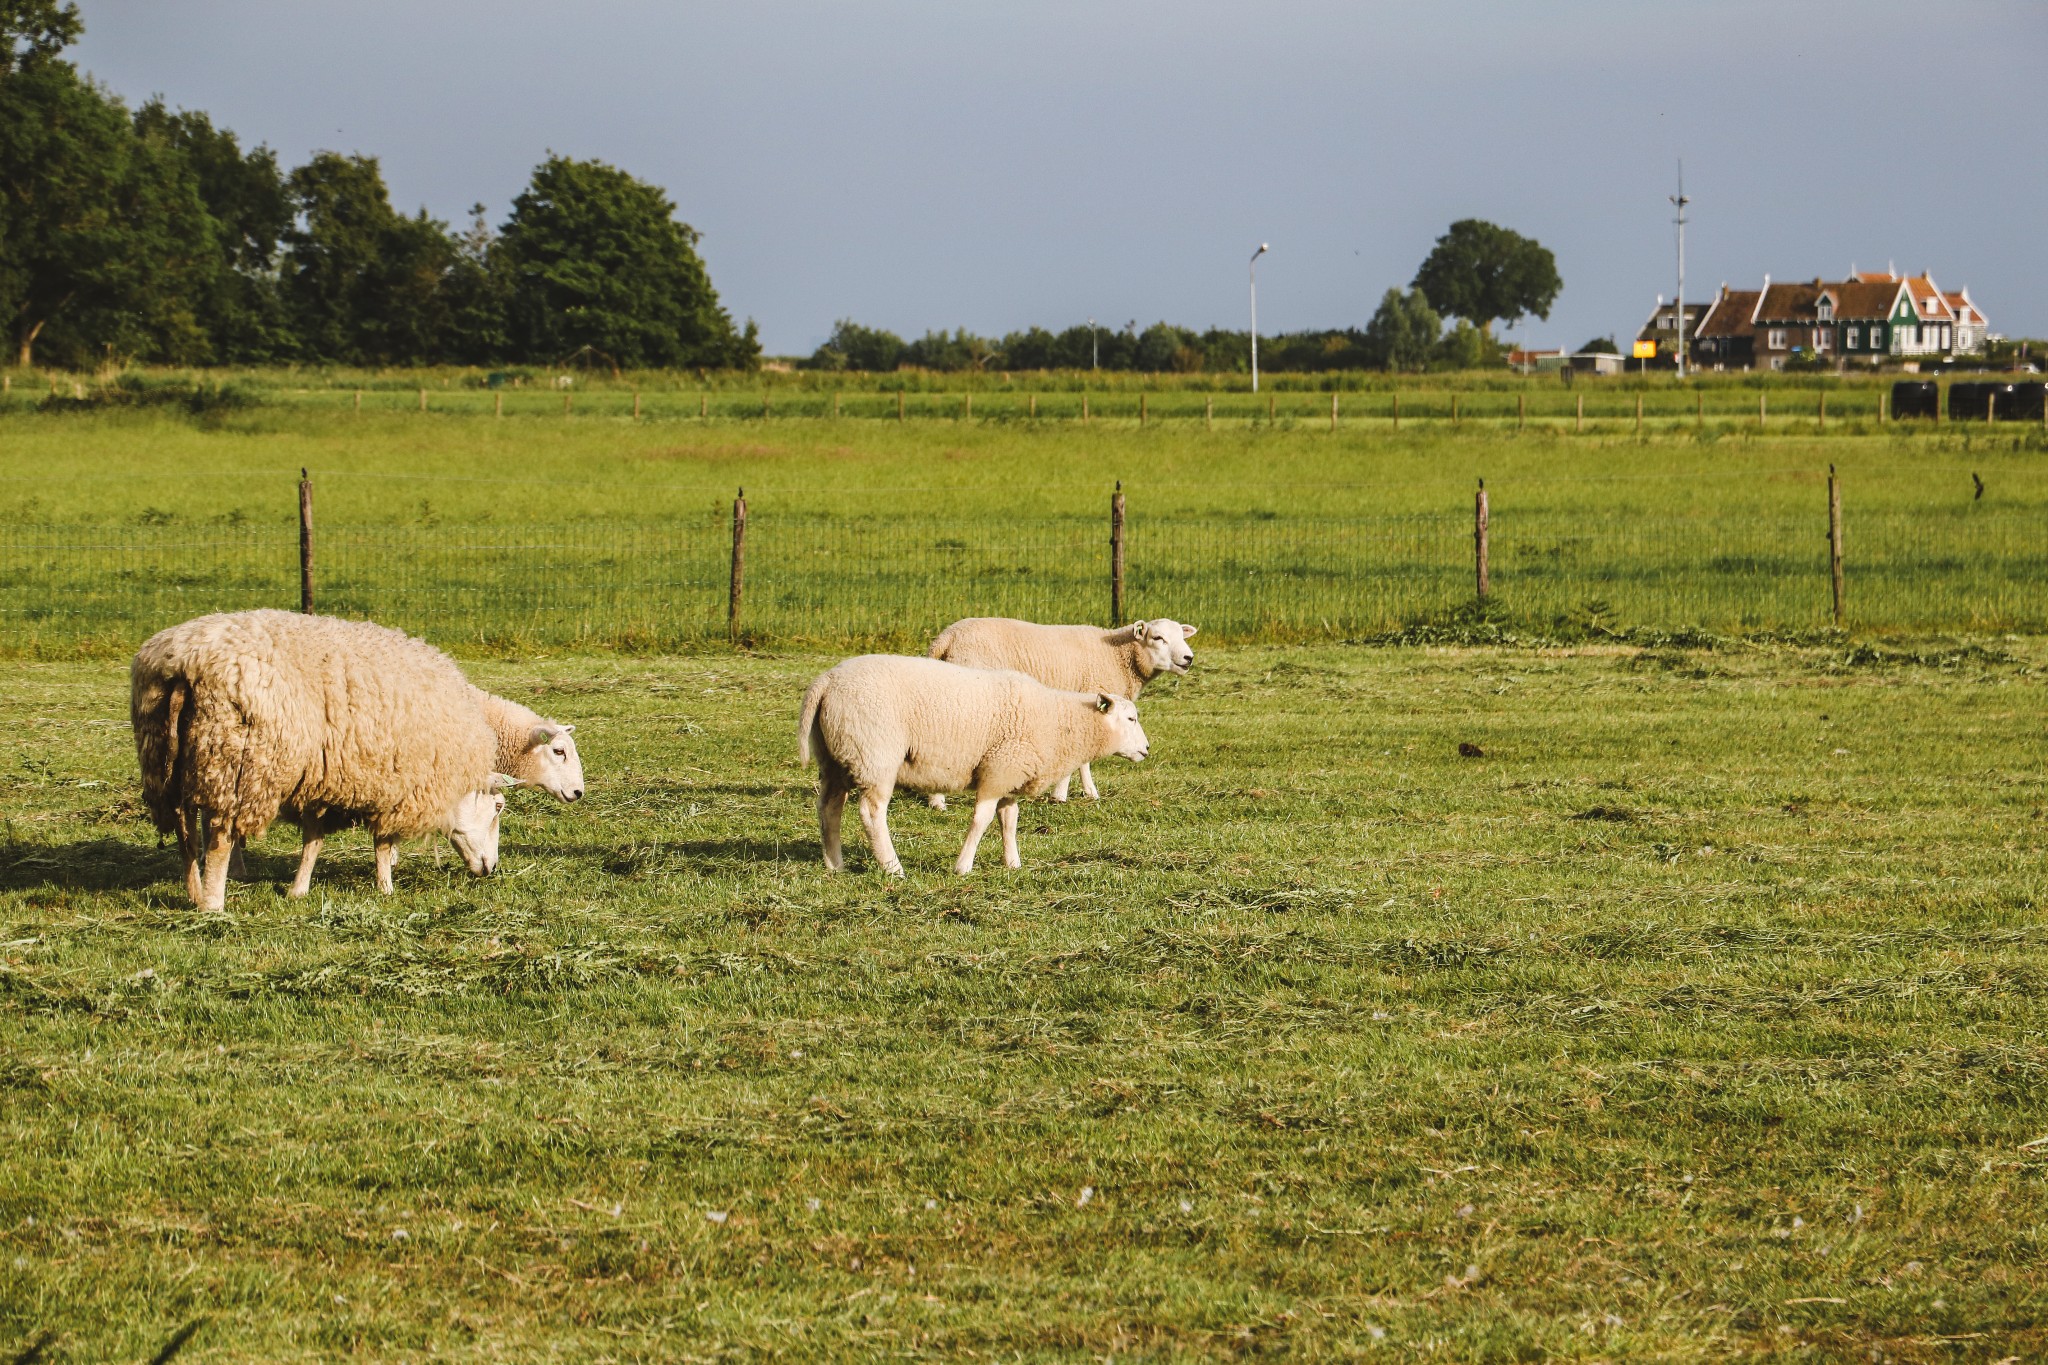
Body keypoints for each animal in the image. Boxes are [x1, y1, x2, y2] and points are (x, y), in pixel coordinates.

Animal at [132, 605, 512, 908]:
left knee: (184, 833)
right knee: (218, 837)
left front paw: (298, 889)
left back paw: (194, 893)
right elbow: (381, 842)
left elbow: (312, 840)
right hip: (236, 761)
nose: (491, 868)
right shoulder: (393, 787)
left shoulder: (323, 778)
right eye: (498, 807)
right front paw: (385, 887)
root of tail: (185, 663)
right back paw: (212, 903)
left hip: (169, 761)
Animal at [798, 658, 1155, 875]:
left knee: (828, 807)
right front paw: (963, 866)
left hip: (835, 758)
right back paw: (893, 867)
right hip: (875, 755)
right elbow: (981, 821)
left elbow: (1009, 820)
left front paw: (1013, 863)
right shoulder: (997, 771)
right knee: (871, 814)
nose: (1147, 749)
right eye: (1130, 719)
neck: (1057, 721)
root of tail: (826, 681)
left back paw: (835, 864)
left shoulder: (1011, 775)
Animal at [921, 618, 1196, 810]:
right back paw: (938, 801)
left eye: (1182, 636)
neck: (1119, 656)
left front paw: (1078, 792)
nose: (1188, 658)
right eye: (1158, 638)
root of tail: (945, 639)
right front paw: (1068, 794)